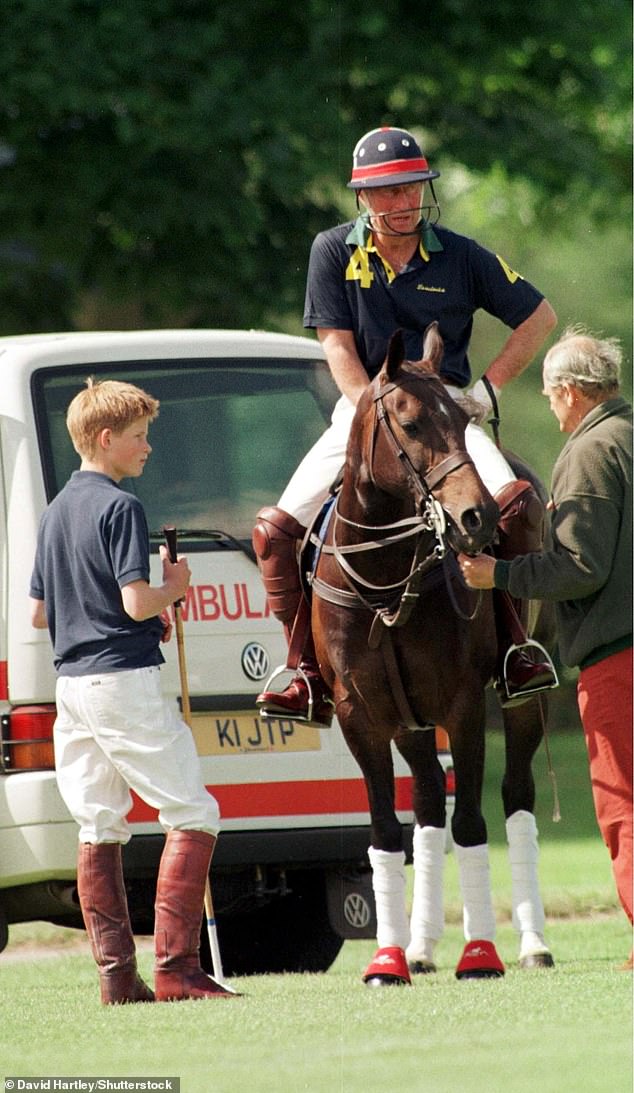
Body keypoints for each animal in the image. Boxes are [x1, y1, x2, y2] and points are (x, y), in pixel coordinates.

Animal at [312, 323, 555, 983]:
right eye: (411, 423)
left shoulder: (464, 705)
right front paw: (388, 960)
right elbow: (384, 831)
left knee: (516, 795)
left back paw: (532, 944)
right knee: (423, 804)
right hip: (410, 723)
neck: (387, 578)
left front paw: (480, 954)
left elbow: (471, 822)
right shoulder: (361, 716)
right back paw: (419, 949)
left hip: (524, 698)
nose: (477, 518)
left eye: (463, 419)